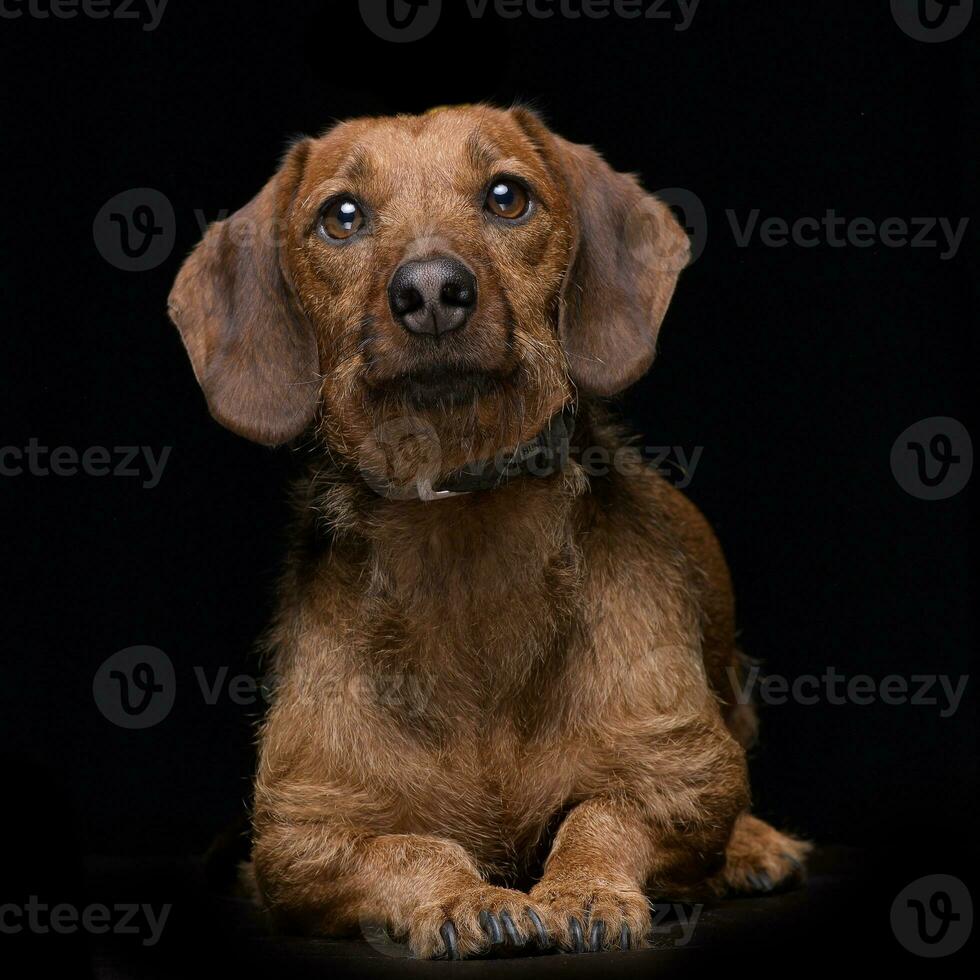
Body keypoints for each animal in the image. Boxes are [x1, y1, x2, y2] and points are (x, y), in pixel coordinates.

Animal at [170, 105, 812, 956]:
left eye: (507, 196)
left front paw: (581, 889)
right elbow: (414, 847)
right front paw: (465, 897)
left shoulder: (687, 771)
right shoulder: (299, 837)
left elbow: (603, 812)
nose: (432, 290)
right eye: (341, 216)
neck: (463, 539)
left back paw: (755, 846)